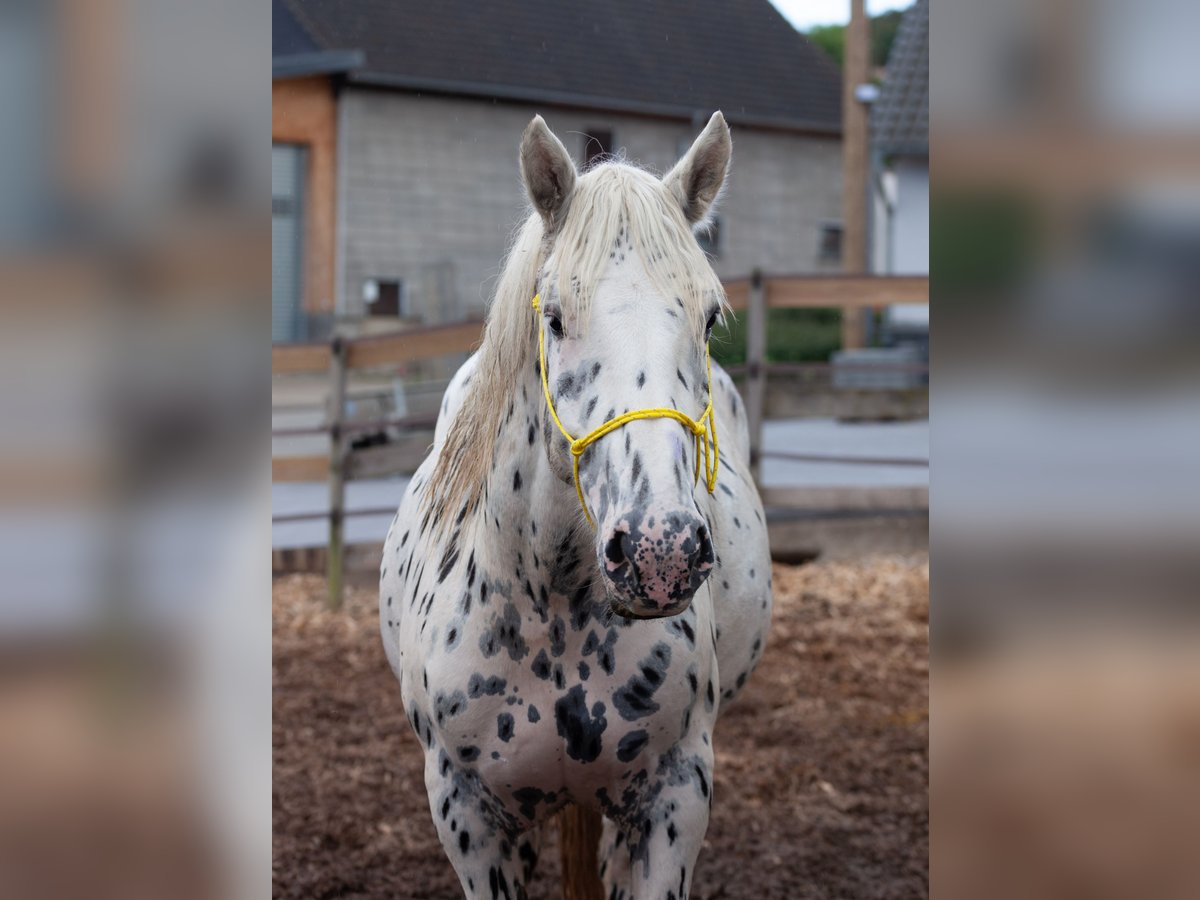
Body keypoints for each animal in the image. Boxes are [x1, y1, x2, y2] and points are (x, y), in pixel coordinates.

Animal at [379, 112, 772, 900]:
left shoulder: (676, 798)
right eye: (555, 317)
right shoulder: (467, 815)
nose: (660, 552)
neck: (551, 605)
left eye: (710, 318)